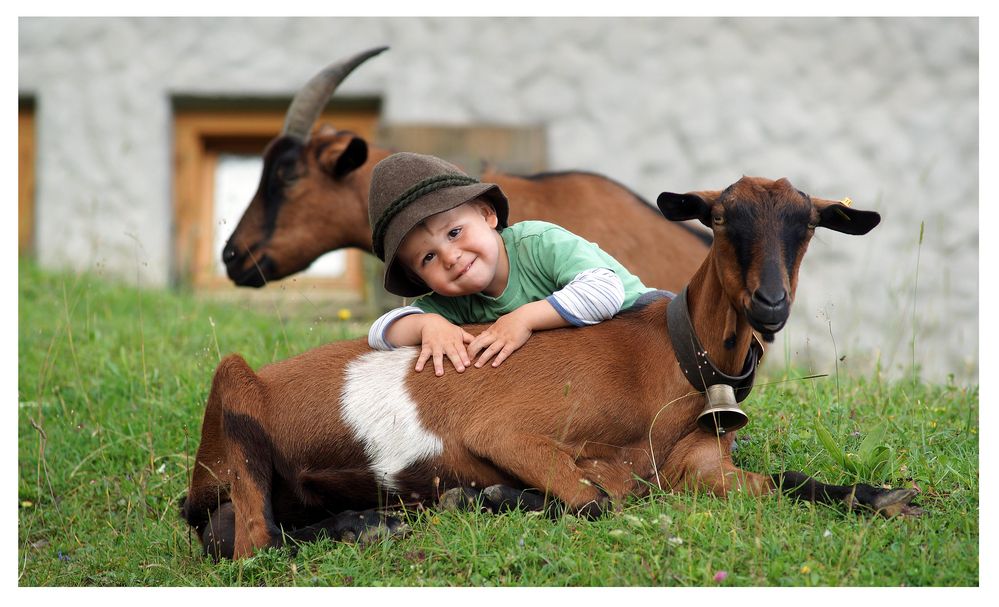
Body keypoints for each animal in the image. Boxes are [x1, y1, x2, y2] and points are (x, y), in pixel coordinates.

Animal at [182, 176, 920, 560]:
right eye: (719, 218)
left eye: (808, 225)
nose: (770, 303)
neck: (668, 359)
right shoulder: (505, 431)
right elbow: (596, 500)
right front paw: (483, 496)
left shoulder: (704, 469)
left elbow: (794, 481)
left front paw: (889, 497)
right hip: (233, 390)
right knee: (250, 540)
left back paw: (374, 520)